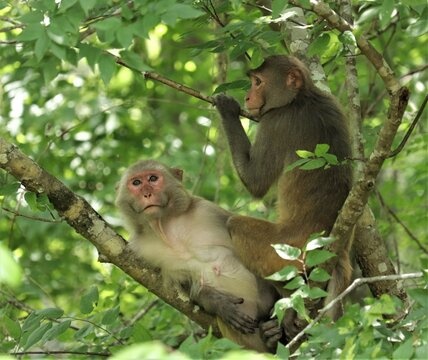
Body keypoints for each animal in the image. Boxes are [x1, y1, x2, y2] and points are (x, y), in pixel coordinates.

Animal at [113, 160, 276, 352]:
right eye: (136, 183)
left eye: (153, 178)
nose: (147, 193)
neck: (165, 226)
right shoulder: (139, 249)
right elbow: (181, 287)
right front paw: (219, 303)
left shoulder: (207, 210)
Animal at [216, 54, 352, 344]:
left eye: (257, 82)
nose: (247, 97)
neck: (302, 98)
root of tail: (337, 250)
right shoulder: (333, 103)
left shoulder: (275, 122)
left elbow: (255, 182)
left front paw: (228, 109)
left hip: (286, 250)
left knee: (236, 226)